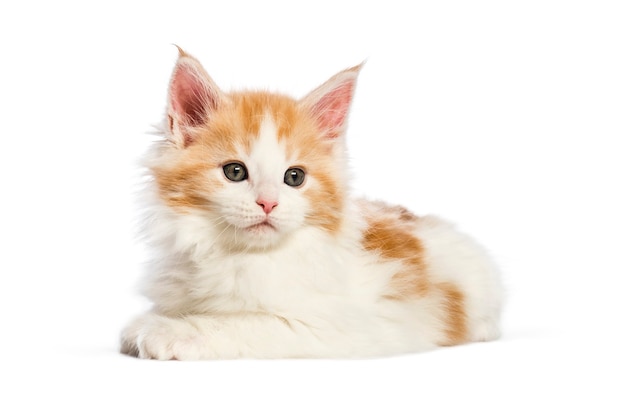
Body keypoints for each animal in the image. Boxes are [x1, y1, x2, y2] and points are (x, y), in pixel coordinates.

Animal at [120, 47, 502, 358]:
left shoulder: (334, 326)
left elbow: (242, 323)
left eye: (294, 177)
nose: (268, 204)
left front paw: (166, 331)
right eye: (234, 171)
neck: (235, 255)